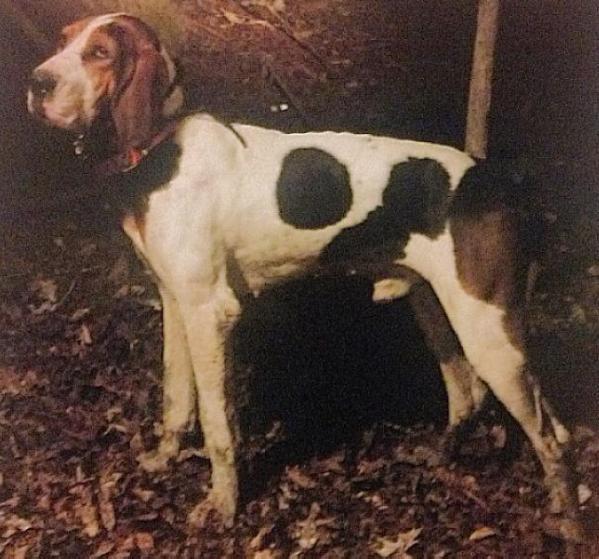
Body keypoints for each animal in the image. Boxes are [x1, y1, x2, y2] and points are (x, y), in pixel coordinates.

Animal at [27, 12, 580, 540]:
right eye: (64, 40)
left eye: (100, 53)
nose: (36, 83)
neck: (163, 150)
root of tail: (498, 179)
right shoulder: (175, 302)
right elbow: (175, 398)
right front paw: (165, 459)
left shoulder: (210, 313)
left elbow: (217, 426)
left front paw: (223, 506)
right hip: (436, 310)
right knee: (470, 394)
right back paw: (447, 455)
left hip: (490, 334)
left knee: (553, 434)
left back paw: (567, 517)